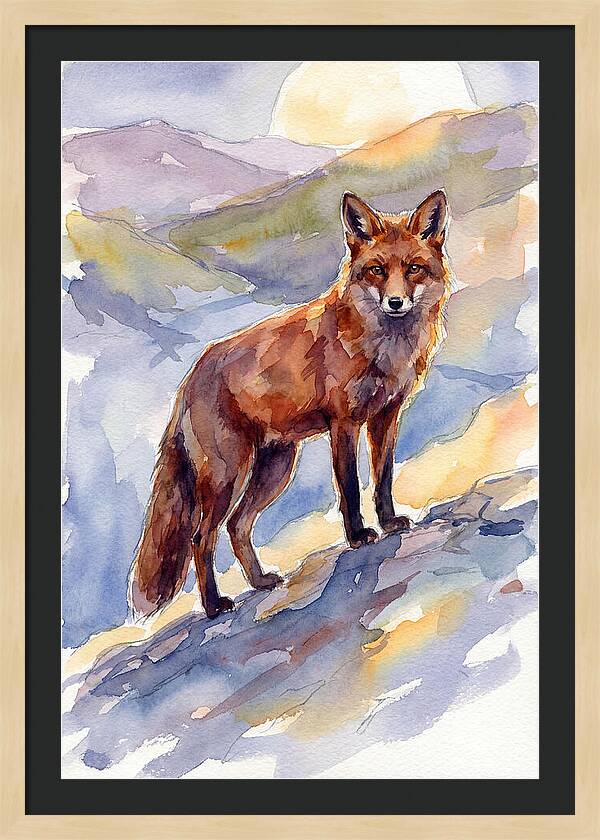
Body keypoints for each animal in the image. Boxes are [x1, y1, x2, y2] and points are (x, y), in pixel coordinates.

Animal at [129, 189, 452, 620]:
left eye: (414, 268)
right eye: (377, 271)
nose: (396, 302)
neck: (384, 348)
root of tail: (191, 378)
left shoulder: (386, 415)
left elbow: (382, 478)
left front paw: (388, 522)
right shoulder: (343, 423)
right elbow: (350, 487)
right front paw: (357, 536)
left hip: (275, 468)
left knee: (237, 526)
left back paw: (260, 582)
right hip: (227, 474)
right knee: (201, 536)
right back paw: (214, 605)